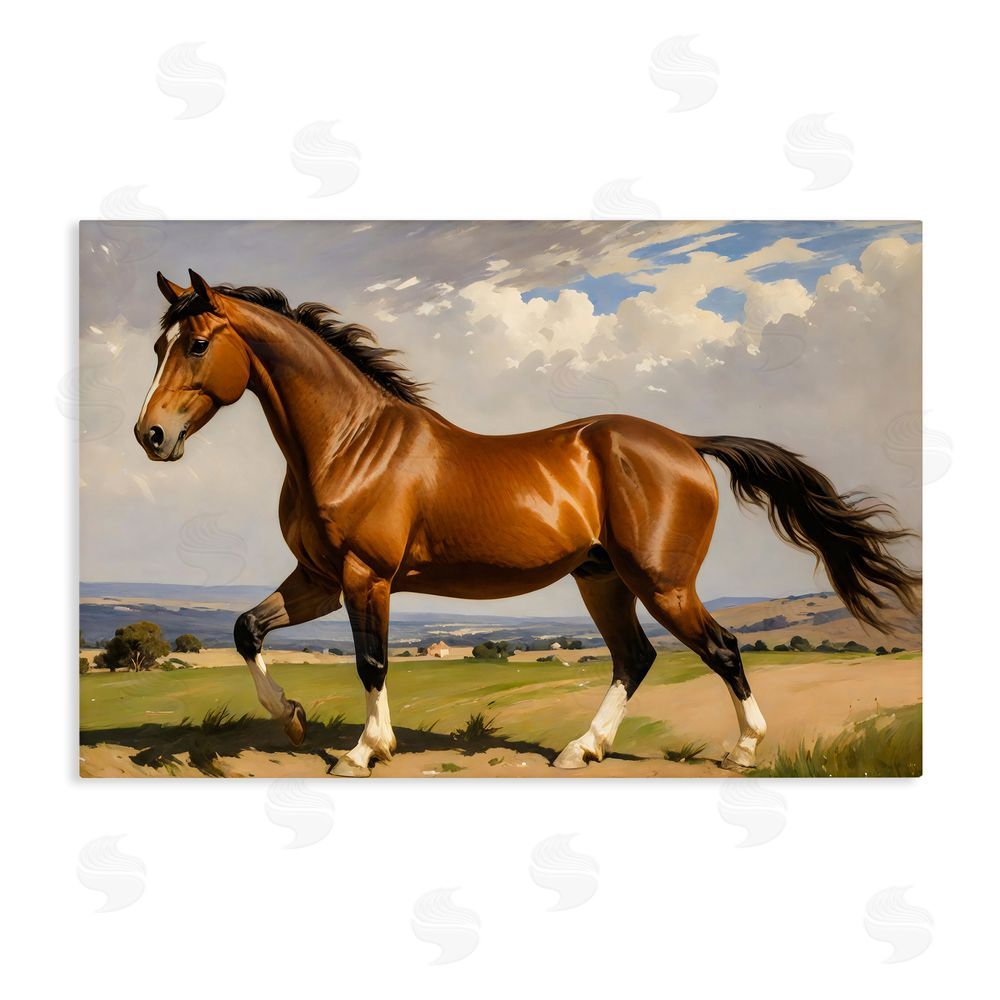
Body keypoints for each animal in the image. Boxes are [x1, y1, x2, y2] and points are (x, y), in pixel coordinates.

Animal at [135, 269, 921, 776]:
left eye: (197, 344)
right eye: (157, 347)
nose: (151, 436)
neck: (348, 443)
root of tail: (686, 445)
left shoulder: (367, 578)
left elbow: (372, 661)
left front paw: (365, 750)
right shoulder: (321, 578)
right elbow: (246, 630)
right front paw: (294, 717)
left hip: (662, 582)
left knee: (722, 648)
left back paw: (744, 750)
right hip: (603, 579)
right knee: (635, 658)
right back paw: (581, 750)